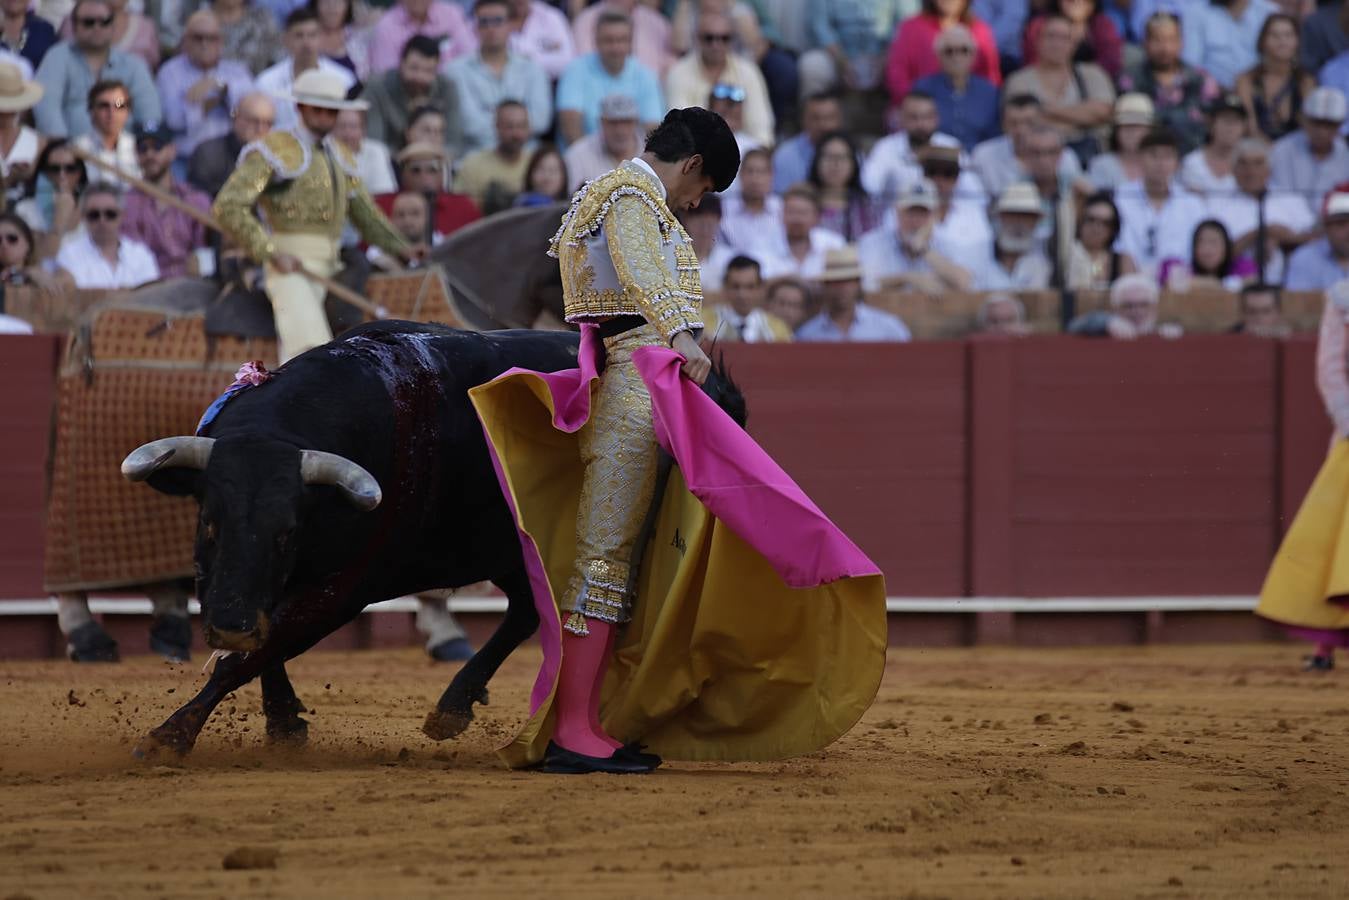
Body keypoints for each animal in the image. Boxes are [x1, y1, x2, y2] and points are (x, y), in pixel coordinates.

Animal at [120, 319, 744, 755]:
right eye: (207, 520)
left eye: (286, 531)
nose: (227, 621)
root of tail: (711, 384)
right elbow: (264, 644)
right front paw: (283, 722)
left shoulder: (347, 589)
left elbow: (256, 653)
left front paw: (170, 735)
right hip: (508, 551)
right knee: (525, 610)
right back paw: (454, 707)